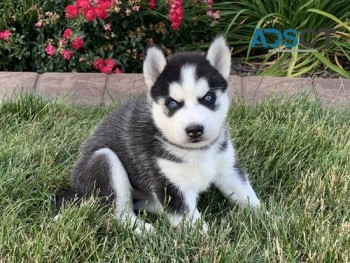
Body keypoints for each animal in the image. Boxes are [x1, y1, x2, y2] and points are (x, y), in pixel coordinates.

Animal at [56, 36, 260, 233]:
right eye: (172, 103)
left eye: (209, 97)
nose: (194, 129)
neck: (197, 151)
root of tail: (75, 187)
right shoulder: (170, 183)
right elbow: (192, 223)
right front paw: (205, 237)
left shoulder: (228, 168)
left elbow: (247, 196)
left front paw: (264, 218)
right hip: (104, 161)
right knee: (119, 214)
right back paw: (144, 229)